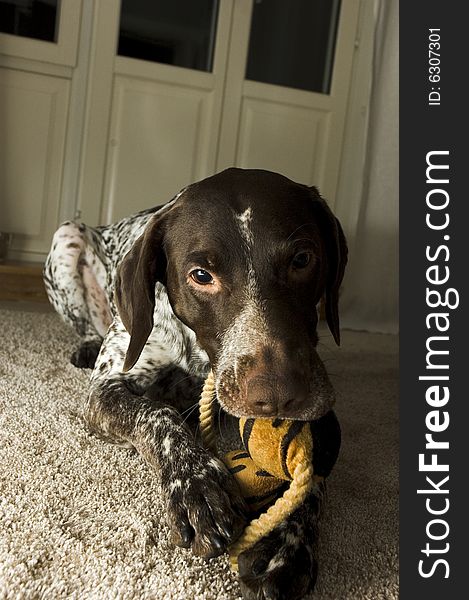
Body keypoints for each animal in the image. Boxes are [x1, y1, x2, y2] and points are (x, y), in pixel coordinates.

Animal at [44, 168, 346, 600]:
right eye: (201, 276)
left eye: (302, 259)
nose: (280, 396)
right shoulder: (105, 390)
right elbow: (157, 416)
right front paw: (196, 486)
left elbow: (312, 476)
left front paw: (287, 544)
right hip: (67, 237)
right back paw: (86, 344)